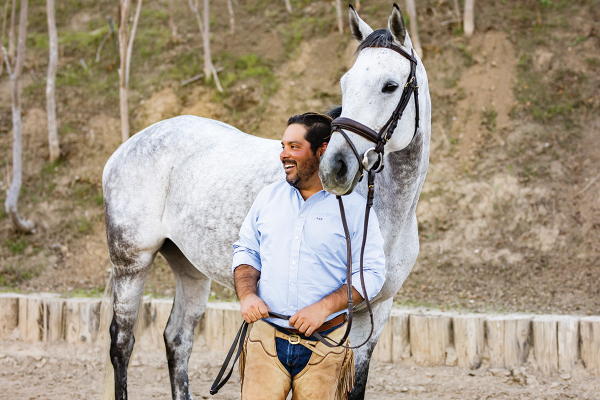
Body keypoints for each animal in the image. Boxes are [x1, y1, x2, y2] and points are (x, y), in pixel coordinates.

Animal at [104, 3, 432, 400]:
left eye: (390, 85)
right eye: (345, 83)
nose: (336, 167)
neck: (386, 214)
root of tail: (127, 146)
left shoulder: (375, 312)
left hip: (190, 269)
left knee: (177, 339)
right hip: (131, 264)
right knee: (122, 343)